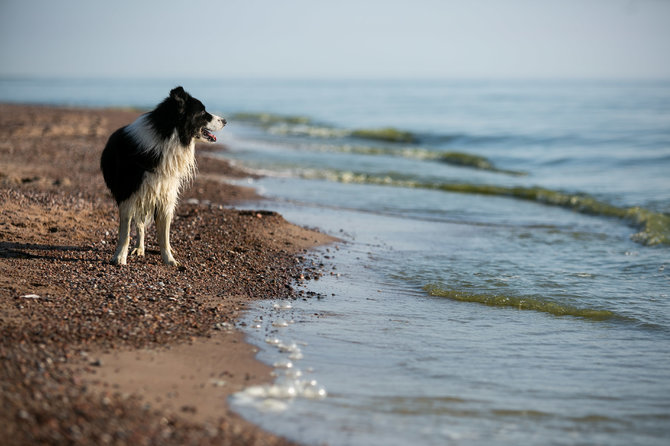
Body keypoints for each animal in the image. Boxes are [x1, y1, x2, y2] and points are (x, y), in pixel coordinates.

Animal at [100, 89, 226, 266]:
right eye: (202, 112)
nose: (225, 121)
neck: (168, 136)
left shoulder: (166, 194)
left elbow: (164, 234)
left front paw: (169, 259)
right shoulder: (129, 194)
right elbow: (125, 232)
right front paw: (119, 257)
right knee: (139, 224)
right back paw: (138, 248)